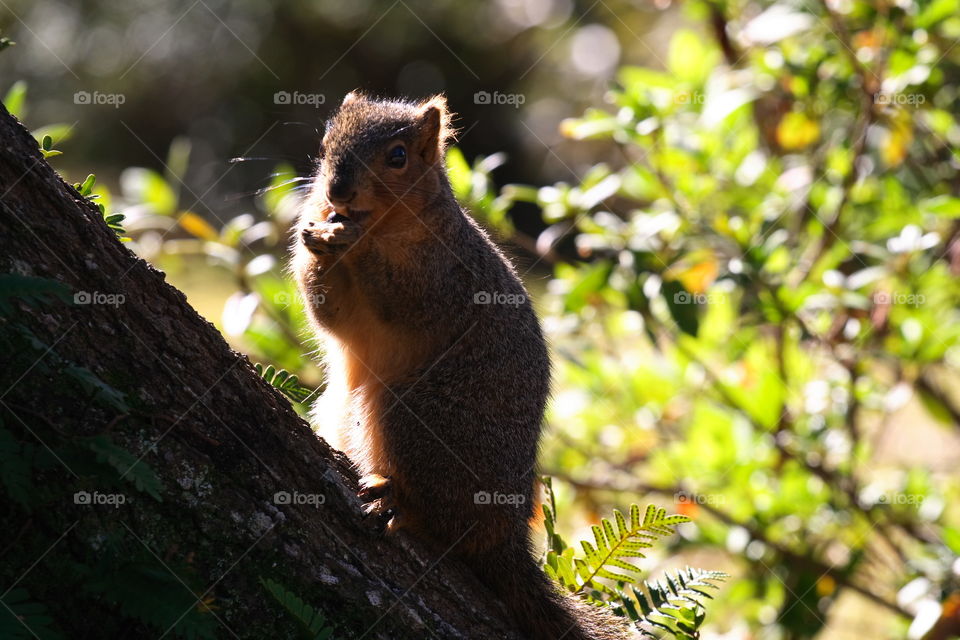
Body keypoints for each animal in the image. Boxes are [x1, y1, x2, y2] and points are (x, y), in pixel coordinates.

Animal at [292, 92, 627, 640]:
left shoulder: (446, 280)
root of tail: (505, 539)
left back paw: (396, 501)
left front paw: (351, 239)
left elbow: (403, 302)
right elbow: (327, 311)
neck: (389, 223)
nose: (337, 191)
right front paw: (316, 236)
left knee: (447, 526)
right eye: (324, 143)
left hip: (417, 417)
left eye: (399, 156)